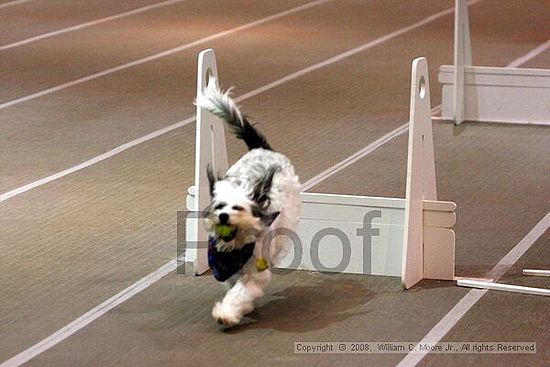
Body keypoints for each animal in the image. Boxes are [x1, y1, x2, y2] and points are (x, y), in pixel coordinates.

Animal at [196, 81, 302, 328]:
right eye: (219, 207)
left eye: (238, 208)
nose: (223, 216)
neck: (235, 248)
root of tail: (261, 149)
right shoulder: (224, 267)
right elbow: (232, 285)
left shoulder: (256, 271)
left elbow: (240, 291)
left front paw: (227, 313)